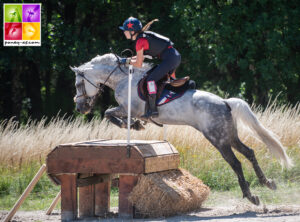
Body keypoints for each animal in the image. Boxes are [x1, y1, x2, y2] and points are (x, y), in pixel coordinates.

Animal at [72, 53, 292, 206]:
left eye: (78, 84)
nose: (80, 108)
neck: (123, 79)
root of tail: (224, 102)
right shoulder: (128, 109)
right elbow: (110, 113)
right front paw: (134, 125)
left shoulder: (129, 109)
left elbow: (108, 113)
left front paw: (132, 125)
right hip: (229, 136)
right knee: (249, 153)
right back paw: (267, 183)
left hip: (218, 139)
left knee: (235, 163)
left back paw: (250, 196)